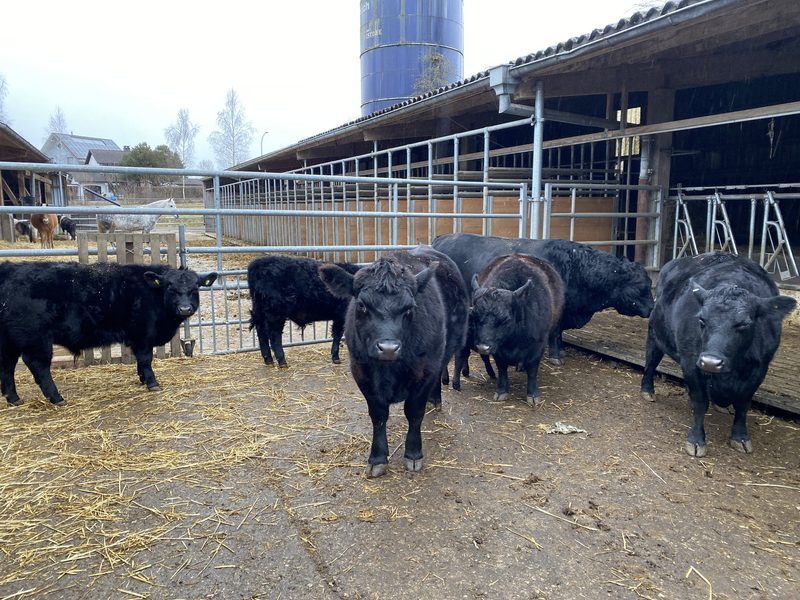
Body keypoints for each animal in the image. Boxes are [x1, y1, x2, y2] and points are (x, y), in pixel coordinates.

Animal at [0, 261, 217, 406]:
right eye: (170, 287)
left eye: (195, 288)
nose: (185, 309)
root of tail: (10, 268)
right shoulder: (143, 335)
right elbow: (145, 359)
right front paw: (152, 383)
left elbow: (140, 362)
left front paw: (142, 379)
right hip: (36, 338)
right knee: (38, 365)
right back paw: (56, 397)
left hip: (11, 339)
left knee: (8, 365)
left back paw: (13, 398)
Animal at [319, 246, 468, 477]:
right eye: (362, 305)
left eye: (409, 308)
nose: (388, 348)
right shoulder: (361, 373)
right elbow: (378, 416)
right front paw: (378, 458)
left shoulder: (425, 372)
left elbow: (414, 413)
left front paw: (413, 454)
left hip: (446, 348)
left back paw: (435, 400)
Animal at [469, 253, 565, 407]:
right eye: (474, 316)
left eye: (505, 319)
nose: (483, 347)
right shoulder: (498, 350)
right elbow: (502, 369)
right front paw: (501, 391)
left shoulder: (537, 347)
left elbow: (532, 370)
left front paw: (533, 395)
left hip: (556, 323)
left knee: (555, 336)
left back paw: (554, 358)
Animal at [640, 252, 796, 457]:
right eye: (701, 320)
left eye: (744, 324)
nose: (710, 362)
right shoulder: (691, 363)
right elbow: (699, 402)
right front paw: (696, 440)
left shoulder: (759, 369)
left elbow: (743, 404)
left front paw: (740, 437)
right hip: (655, 336)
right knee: (651, 362)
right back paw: (647, 391)